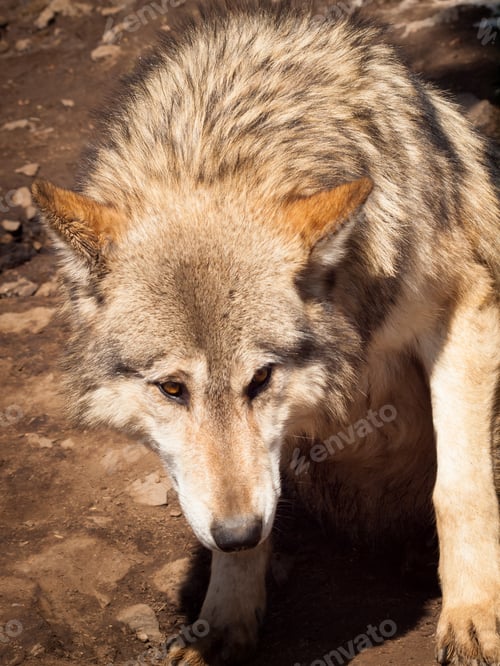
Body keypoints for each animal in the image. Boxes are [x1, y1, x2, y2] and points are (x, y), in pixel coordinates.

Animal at [32, 2, 499, 664]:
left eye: (261, 378)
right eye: (172, 389)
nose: (235, 532)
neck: (222, 148)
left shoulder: (467, 308)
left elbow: (460, 490)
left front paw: (473, 616)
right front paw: (222, 620)